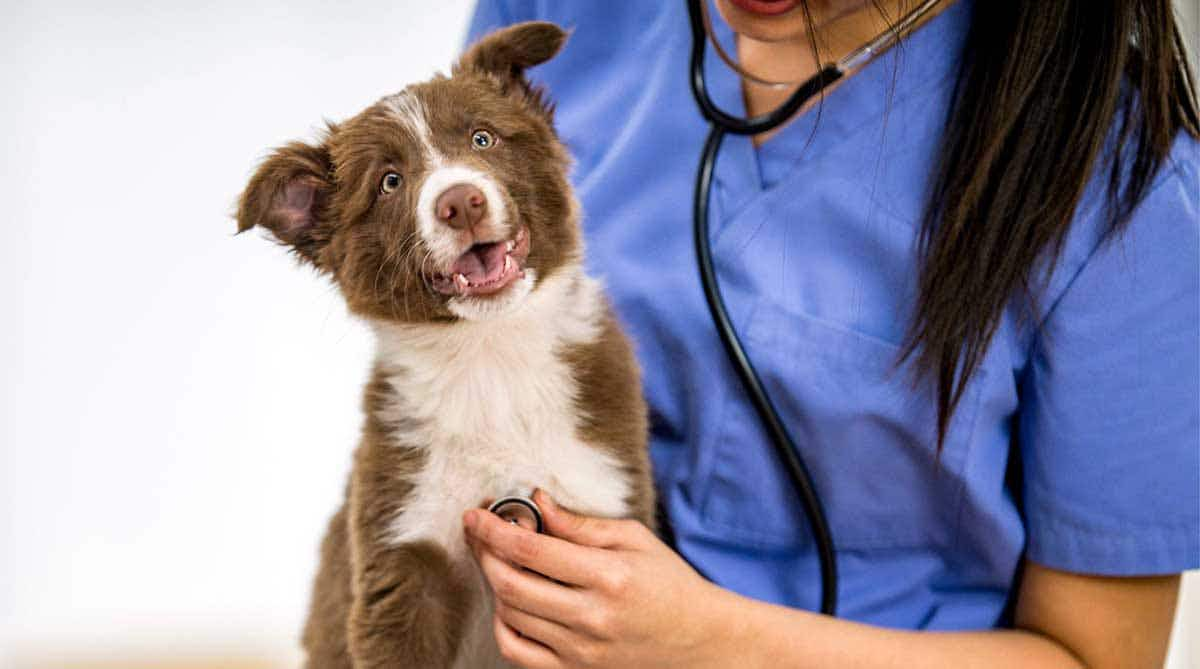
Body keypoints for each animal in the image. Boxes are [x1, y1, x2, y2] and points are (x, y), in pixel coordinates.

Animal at [234, 20, 657, 669]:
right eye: (390, 182)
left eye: (483, 138)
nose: (461, 202)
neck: (490, 356)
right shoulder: (402, 554)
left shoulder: (598, 506)